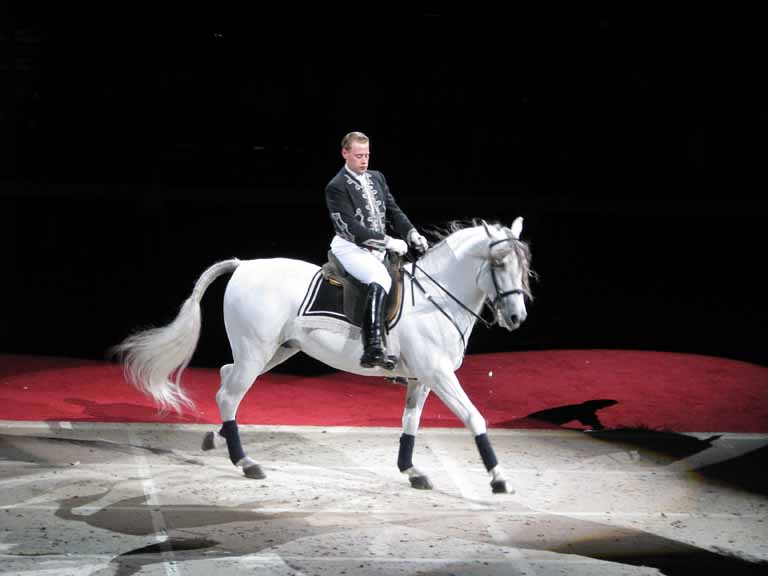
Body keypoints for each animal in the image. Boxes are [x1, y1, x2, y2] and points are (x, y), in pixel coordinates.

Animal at [114, 218, 536, 492]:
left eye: (524, 267)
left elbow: (410, 422)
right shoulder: (439, 374)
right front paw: (499, 478)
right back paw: (245, 462)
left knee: (224, 377)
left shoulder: (422, 378)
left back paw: (216, 440)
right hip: (256, 350)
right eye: (499, 264)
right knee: (229, 394)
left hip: (275, 351)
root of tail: (244, 265)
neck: (434, 297)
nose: (517, 318)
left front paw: (411, 470)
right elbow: (474, 416)